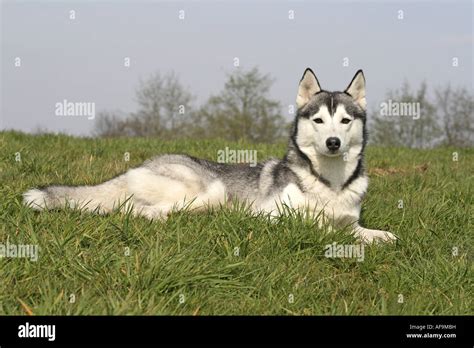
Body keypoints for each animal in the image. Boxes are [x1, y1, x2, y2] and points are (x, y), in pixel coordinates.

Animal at [24, 67, 398, 242]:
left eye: (345, 121)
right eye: (319, 120)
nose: (333, 142)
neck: (329, 182)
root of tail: (142, 163)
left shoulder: (350, 218)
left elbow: (365, 232)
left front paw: (382, 236)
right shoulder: (273, 215)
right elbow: (320, 225)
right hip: (210, 189)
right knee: (138, 210)